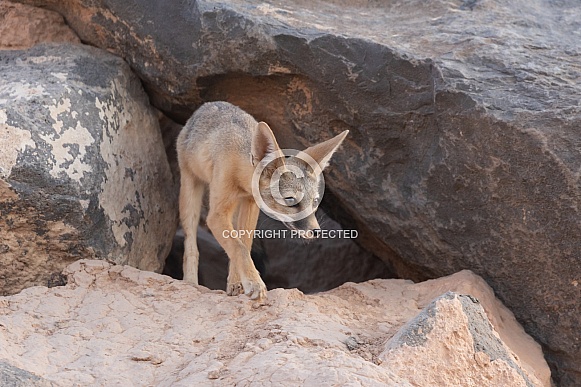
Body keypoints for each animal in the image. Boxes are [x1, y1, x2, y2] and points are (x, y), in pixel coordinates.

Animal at [177, 101, 346, 302]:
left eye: (314, 202)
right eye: (290, 200)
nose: (316, 232)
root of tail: (207, 105)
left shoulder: (250, 205)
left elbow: (243, 243)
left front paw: (239, 283)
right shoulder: (216, 214)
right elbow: (239, 248)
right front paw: (254, 283)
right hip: (190, 194)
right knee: (191, 243)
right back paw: (190, 282)